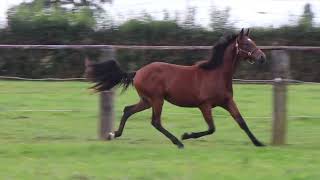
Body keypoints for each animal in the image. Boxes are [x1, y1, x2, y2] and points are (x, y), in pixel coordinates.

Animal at [85, 28, 268, 148]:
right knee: (155, 122)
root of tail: (137, 72)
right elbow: (211, 128)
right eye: (246, 44)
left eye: (253, 42)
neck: (215, 74)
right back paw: (178, 142)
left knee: (128, 110)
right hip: (157, 99)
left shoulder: (228, 102)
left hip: (147, 101)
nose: (262, 57)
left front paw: (259, 143)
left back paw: (113, 134)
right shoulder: (205, 105)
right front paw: (187, 135)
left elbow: (241, 122)